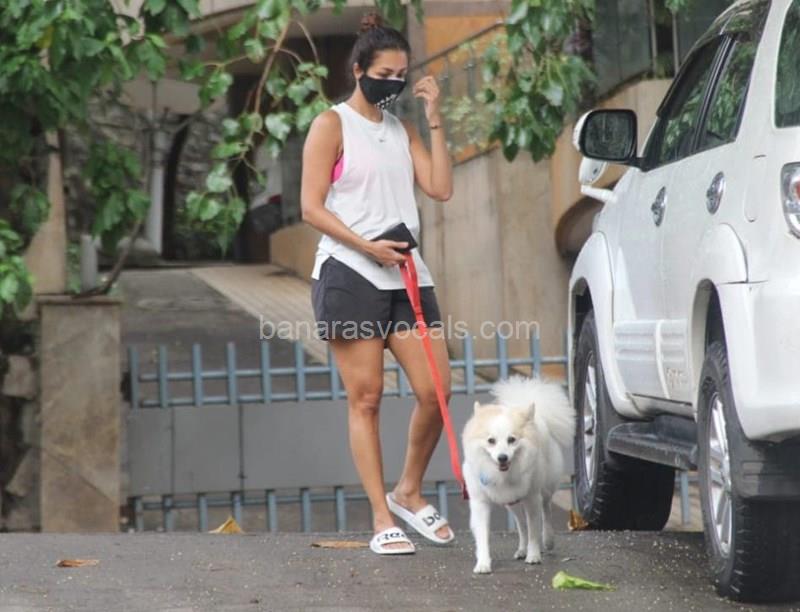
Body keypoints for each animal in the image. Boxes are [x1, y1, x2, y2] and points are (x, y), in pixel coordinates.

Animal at [462, 375, 574, 574]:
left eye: (511, 440)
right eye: (491, 441)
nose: (502, 457)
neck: (502, 475)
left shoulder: (532, 498)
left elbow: (534, 530)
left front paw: (534, 555)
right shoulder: (480, 502)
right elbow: (483, 535)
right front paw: (483, 563)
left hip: (545, 489)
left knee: (546, 511)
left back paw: (548, 540)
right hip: (511, 502)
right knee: (521, 525)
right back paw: (521, 549)